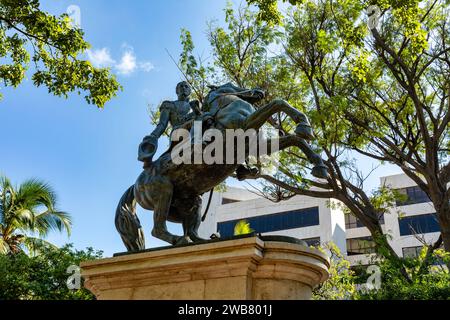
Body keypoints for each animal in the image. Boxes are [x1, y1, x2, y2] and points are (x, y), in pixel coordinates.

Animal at [116, 82, 326, 250]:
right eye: (233, 85)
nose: (259, 93)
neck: (226, 106)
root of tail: (137, 184)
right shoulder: (245, 125)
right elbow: (278, 103)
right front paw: (303, 124)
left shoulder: (256, 145)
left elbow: (296, 139)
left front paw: (317, 162)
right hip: (164, 192)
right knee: (157, 229)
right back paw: (179, 241)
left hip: (190, 202)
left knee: (190, 230)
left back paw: (204, 240)